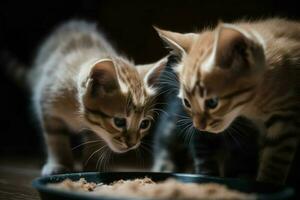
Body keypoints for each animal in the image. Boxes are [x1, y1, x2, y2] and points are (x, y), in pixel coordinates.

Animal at [24, 20, 168, 175]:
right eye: (119, 122)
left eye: (144, 124)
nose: (132, 144)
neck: (78, 113)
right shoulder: (48, 105)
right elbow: (55, 138)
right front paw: (60, 164)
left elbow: (95, 140)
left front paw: (92, 166)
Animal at [156, 18, 300, 184]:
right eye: (187, 102)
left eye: (212, 102)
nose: (198, 126)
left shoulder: (285, 118)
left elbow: (274, 159)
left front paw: (266, 182)